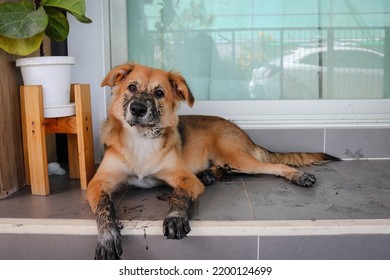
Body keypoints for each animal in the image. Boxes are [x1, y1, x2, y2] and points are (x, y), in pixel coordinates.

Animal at [87, 62, 338, 260]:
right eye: (131, 87)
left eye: (159, 93)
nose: (137, 109)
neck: (141, 140)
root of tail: (240, 130)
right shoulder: (97, 183)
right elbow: (104, 206)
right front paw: (107, 236)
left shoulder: (185, 178)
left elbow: (179, 196)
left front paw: (175, 217)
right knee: (229, 170)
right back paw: (209, 174)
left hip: (237, 157)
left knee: (274, 166)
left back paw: (298, 176)